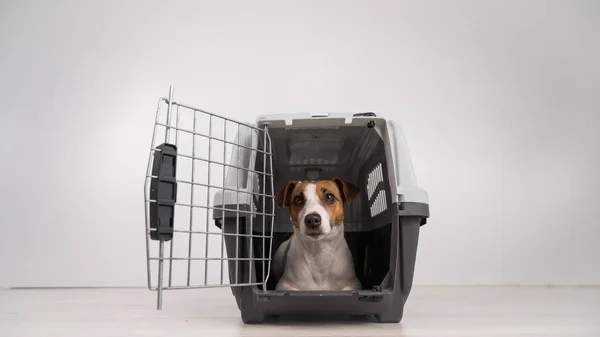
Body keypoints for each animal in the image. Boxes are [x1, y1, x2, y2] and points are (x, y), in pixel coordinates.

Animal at [144, 86, 428, 322]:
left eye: (329, 197)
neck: (319, 258)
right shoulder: (285, 285)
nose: (312, 219)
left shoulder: (353, 285)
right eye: (298, 199)